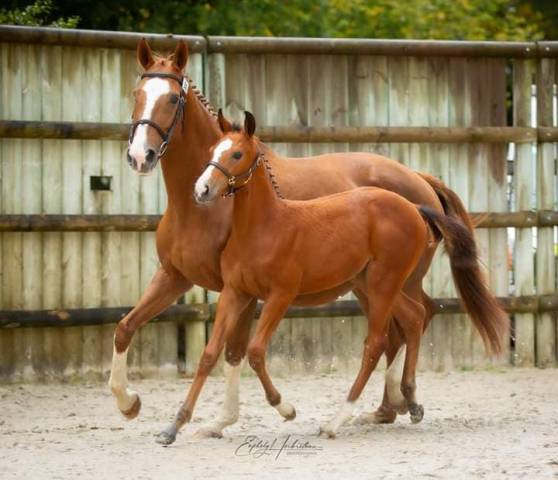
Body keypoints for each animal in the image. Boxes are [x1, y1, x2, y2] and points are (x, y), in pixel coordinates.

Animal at [111, 37, 506, 442]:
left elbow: (235, 351)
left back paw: (393, 402)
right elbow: (126, 328)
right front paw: (130, 403)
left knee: (404, 325)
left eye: (173, 98)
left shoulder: (241, 291)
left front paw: (228, 418)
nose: (140, 155)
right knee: (404, 325)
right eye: (136, 94)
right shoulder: (176, 276)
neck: (199, 209)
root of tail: (419, 182)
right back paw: (390, 406)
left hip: (390, 281)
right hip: (369, 283)